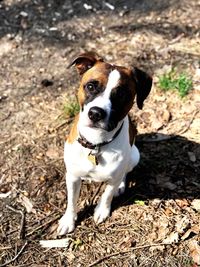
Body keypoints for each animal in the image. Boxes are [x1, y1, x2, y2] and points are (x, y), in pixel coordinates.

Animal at [57, 51, 152, 234]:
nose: (96, 113)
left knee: (124, 173)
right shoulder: (72, 177)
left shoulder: (113, 178)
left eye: (121, 94)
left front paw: (102, 210)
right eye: (91, 86)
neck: (96, 143)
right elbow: (71, 201)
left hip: (134, 156)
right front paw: (68, 220)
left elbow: (107, 194)